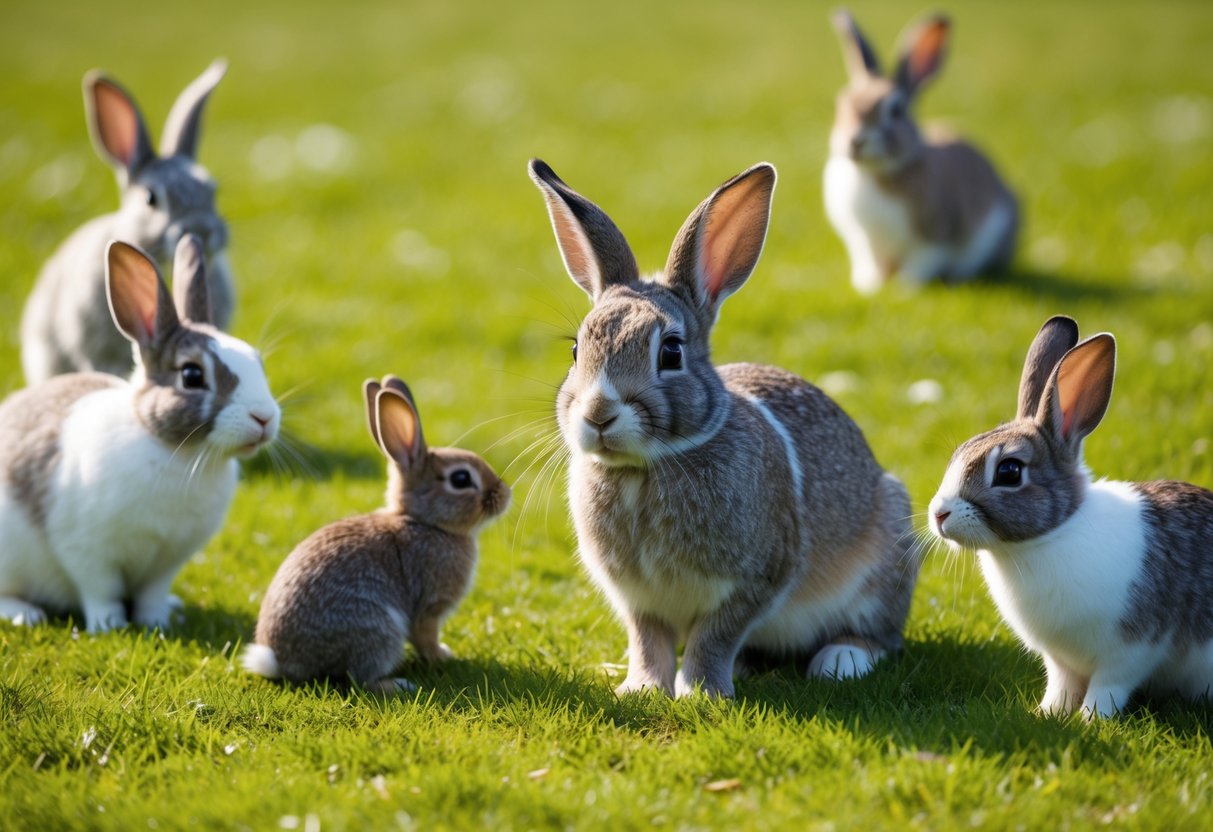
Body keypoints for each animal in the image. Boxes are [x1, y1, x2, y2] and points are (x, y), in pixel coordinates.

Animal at [0, 235, 278, 633]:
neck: (175, 451)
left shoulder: (168, 560)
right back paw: (24, 613)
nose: (265, 417)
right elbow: (100, 591)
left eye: (257, 362)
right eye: (192, 376)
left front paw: (157, 621)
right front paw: (108, 626)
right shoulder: (86, 550)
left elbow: (151, 593)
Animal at [242, 376, 511, 693]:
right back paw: (398, 684)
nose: (505, 494)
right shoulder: (428, 607)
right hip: (380, 628)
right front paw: (441, 656)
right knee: (360, 678)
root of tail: (282, 662)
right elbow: (425, 636)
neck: (424, 522)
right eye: (461, 479)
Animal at [528, 159, 922, 699]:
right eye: (575, 350)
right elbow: (647, 640)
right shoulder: (638, 599)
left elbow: (715, 635)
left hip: (885, 561)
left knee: (879, 634)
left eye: (671, 352)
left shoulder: (758, 580)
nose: (598, 414)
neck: (644, 468)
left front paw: (700, 692)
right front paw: (642, 689)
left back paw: (840, 659)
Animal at [824, 11, 1019, 294]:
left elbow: (922, 261)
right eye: (843, 103)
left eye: (896, 111)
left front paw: (904, 288)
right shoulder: (862, 240)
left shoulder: (933, 235)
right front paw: (869, 286)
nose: (855, 141)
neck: (875, 172)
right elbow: (870, 262)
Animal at [929, 315, 1213, 719]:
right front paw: (1047, 714)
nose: (939, 514)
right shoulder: (1060, 660)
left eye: (1009, 472)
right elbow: (1060, 684)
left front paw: (1091, 720)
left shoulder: (1132, 649)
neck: (1052, 535)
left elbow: (1109, 687)